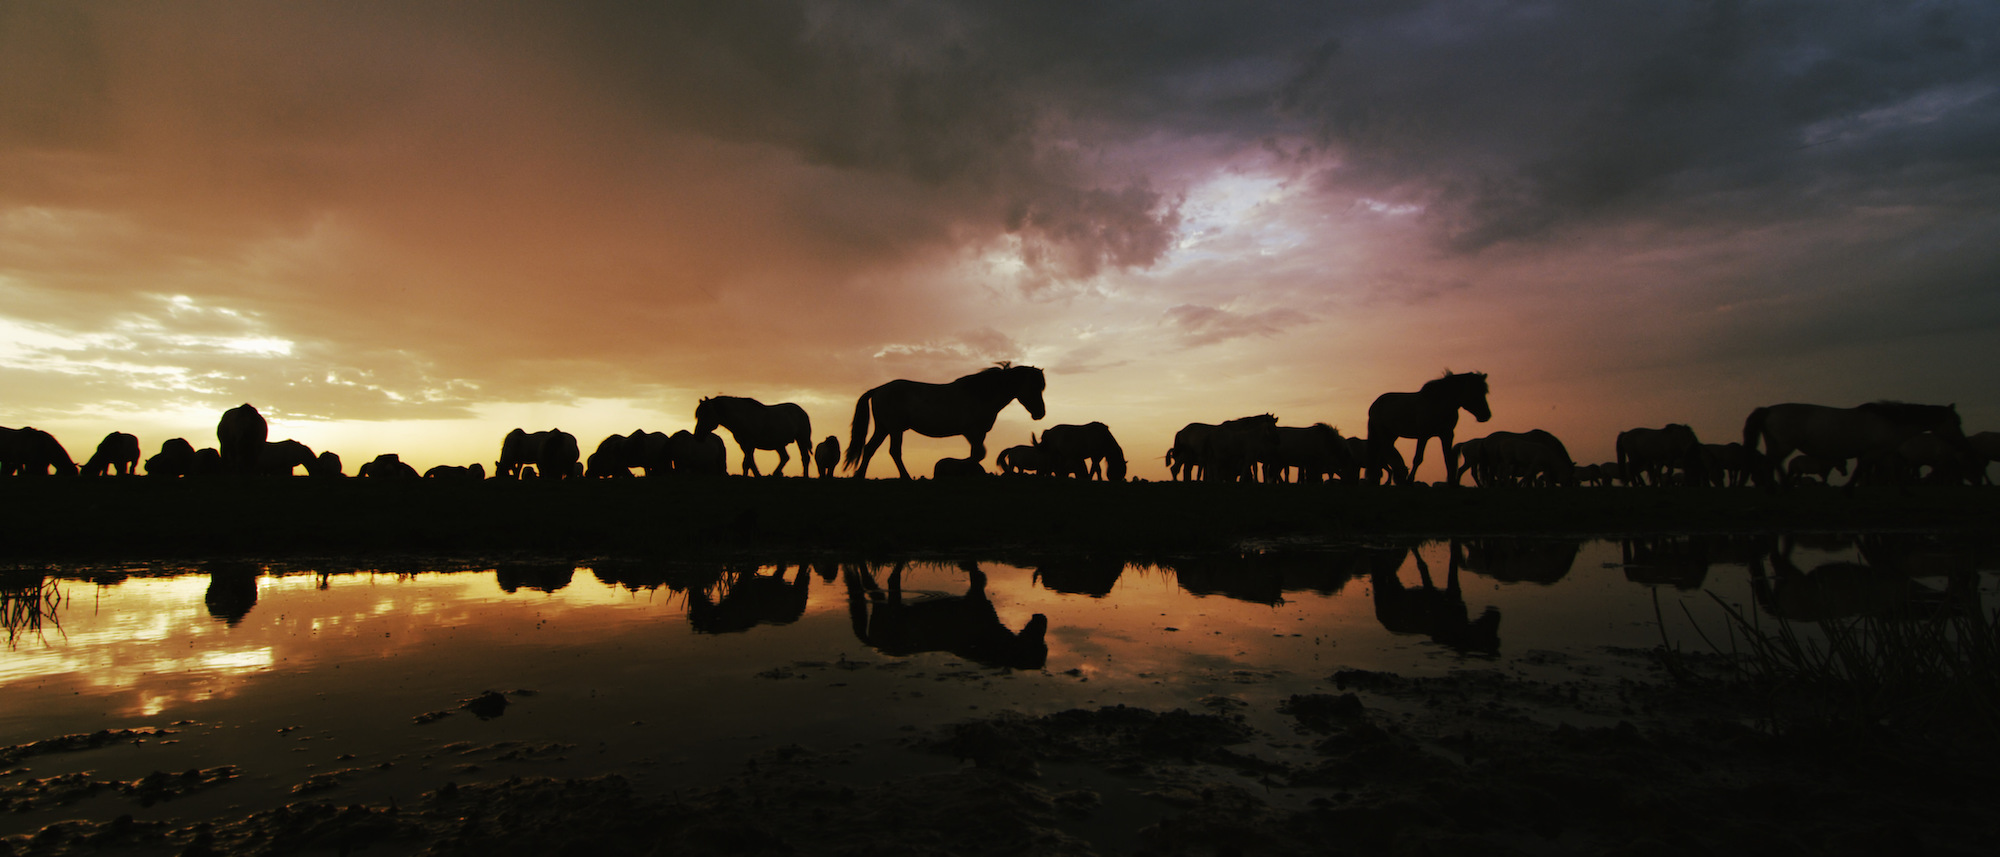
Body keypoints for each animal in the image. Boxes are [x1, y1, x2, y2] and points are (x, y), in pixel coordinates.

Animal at [840, 362, 1048, 478]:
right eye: (1034, 386)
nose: (1040, 413)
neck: (980, 394)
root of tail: (878, 389)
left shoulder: (978, 434)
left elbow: (977, 455)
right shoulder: (972, 432)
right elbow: (977, 455)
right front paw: (955, 468)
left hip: (884, 428)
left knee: (869, 449)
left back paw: (859, 476)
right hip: (895, 429)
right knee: (894, 452)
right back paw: (905, 477)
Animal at [848, 560, 1056, 672]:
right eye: (1038, 648)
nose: (1042, 617)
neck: (988, 639)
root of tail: (875, 643)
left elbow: (978, 575)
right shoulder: (976, 595)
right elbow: (976, 574)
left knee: (874, 585)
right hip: (890, 608)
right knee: (889, 580)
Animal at [1368, 372, 1496, 484]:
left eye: (1484, 391)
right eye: (1475, 391)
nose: (1486, 415)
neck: (1437, 404)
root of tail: (1375, 404)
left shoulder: (1447, 435)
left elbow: (1448, 458)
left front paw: (1451, 482)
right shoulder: (1423, 435)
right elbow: (1418, 458)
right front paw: (1410, 480)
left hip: (1392, 435)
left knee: (1381, 453)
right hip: (1383, 434)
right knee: (1383, 452)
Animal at [1752, 402, 1968, 488]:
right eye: (1957, 421)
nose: (1962, 443)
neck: (1889, 422)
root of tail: (1768, 410)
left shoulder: (1880, 454)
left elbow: (1887, 473)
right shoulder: (1875, 453)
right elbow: (1865, 472)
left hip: (1776, 446)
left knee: (1771, 465)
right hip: (1783, 446)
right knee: (1769, 465)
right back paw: (1774, 488)